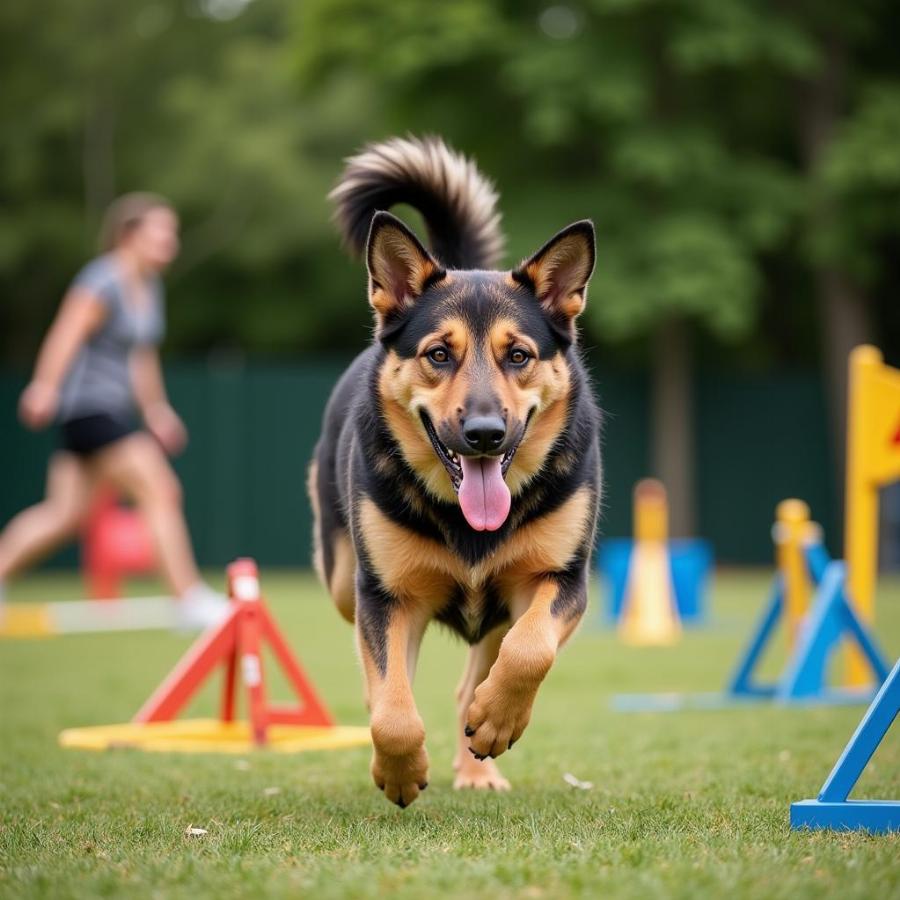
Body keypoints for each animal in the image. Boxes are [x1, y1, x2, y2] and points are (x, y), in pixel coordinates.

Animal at [308, 139, 596, 808]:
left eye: (518, 355)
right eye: (439, 354)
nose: (485, 434)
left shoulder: (560, 579)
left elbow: (528, 651)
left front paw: (497, 720)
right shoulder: (385, 595)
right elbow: (392, 706)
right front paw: (399, 769)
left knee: (481, 672)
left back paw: (480, 759)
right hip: (341, 580)